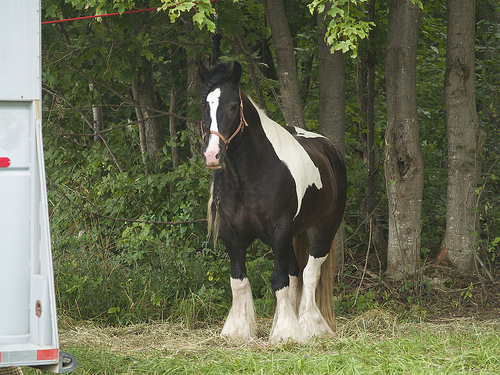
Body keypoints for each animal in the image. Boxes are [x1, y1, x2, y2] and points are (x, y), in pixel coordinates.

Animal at [197, 61, 346, 344]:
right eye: (204, 106)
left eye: (233, 106)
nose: (212, 155)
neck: (251, 176)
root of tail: (330, 149)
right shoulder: (231, 233)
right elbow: (239, 281)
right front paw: (238, 331)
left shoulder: (280, 230)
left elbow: (279, 280)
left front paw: (286, 333)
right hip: (294, 235)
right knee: (296, 274)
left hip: (323, 228)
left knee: (310, 273)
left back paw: (311, 326)